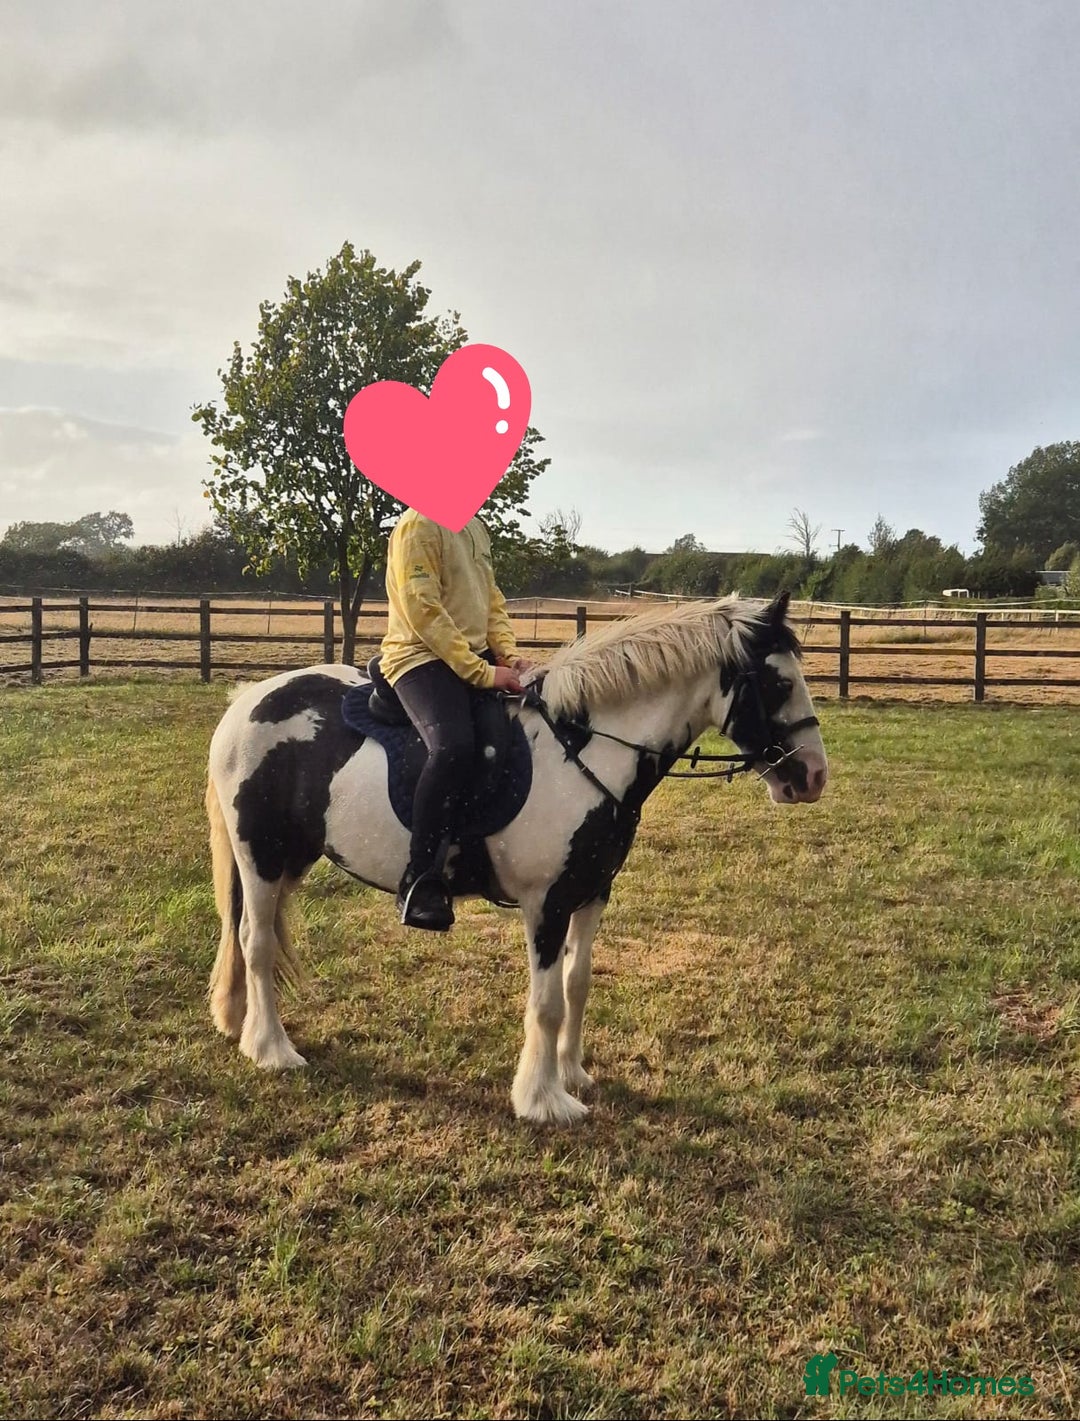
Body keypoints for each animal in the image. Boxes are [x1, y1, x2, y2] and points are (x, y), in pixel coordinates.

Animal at [204, 591, 828, 1125]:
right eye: (776, 682)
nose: (813, 776)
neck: (581, 748)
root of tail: (246, 703)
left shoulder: (591, 892)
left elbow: (577, 984)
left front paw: (573, 1074)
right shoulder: (545, 904)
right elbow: (546, 1002)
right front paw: (544, 1099)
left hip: (290, 861)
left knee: (250, 936)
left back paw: (241, 1025)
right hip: (259, 858)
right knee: (255, 942)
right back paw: (272, 1049)